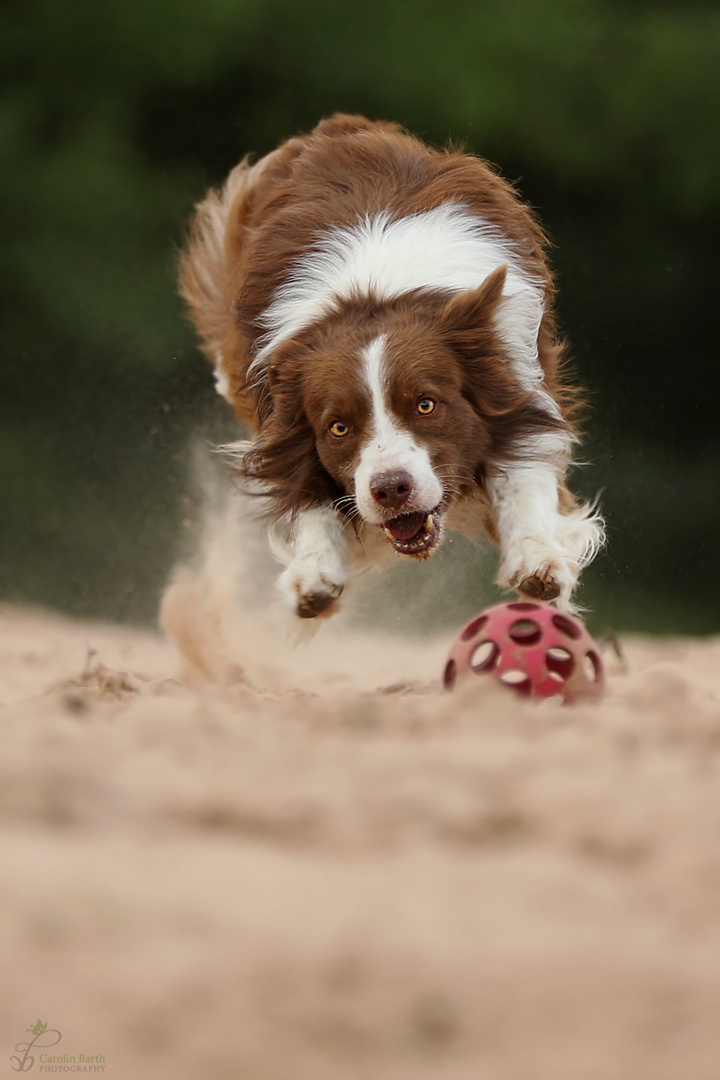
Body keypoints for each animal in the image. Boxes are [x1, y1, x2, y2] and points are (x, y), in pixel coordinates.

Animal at [180, 112, 604, 622]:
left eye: (425, 405)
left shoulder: (520, 381)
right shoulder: (282, 419)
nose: (390, 490)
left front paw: (537, 560)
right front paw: (314, 574)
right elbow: (306, 496)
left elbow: (526, 473)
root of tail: (339, 123)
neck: (373, 295)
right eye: (338, 428)